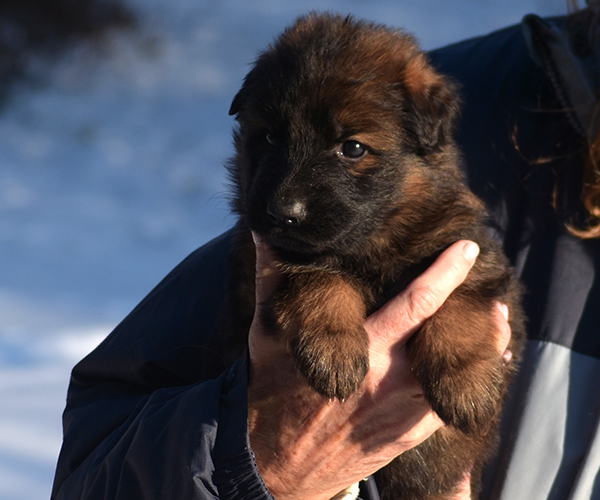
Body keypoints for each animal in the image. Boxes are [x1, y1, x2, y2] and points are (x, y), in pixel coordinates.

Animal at [221, 12, 524, 500]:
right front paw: (333, 347)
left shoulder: (470, 250)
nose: (283, 213)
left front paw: (467, 383)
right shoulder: (262, 263)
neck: (373, 241)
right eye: (267, 137)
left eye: (353, 148)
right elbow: (318, 276)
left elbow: (461, 304)